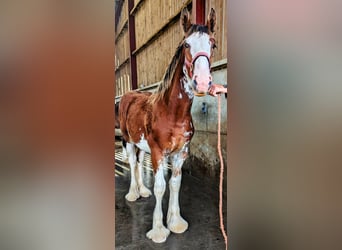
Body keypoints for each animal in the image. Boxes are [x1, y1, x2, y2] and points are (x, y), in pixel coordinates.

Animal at [118, 7, 216, 242]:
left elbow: (175, 184)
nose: (202, 82)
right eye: (186, 44)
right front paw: (159, 230)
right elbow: (161, 186)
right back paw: (133, 193)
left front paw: (175, 222)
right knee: (133, 164)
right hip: (128, 140)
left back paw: (143, 191)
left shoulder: (181, 153)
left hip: (140, 144)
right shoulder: (158, 152)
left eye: (213, 44)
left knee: (138, 161)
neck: (172, 113)